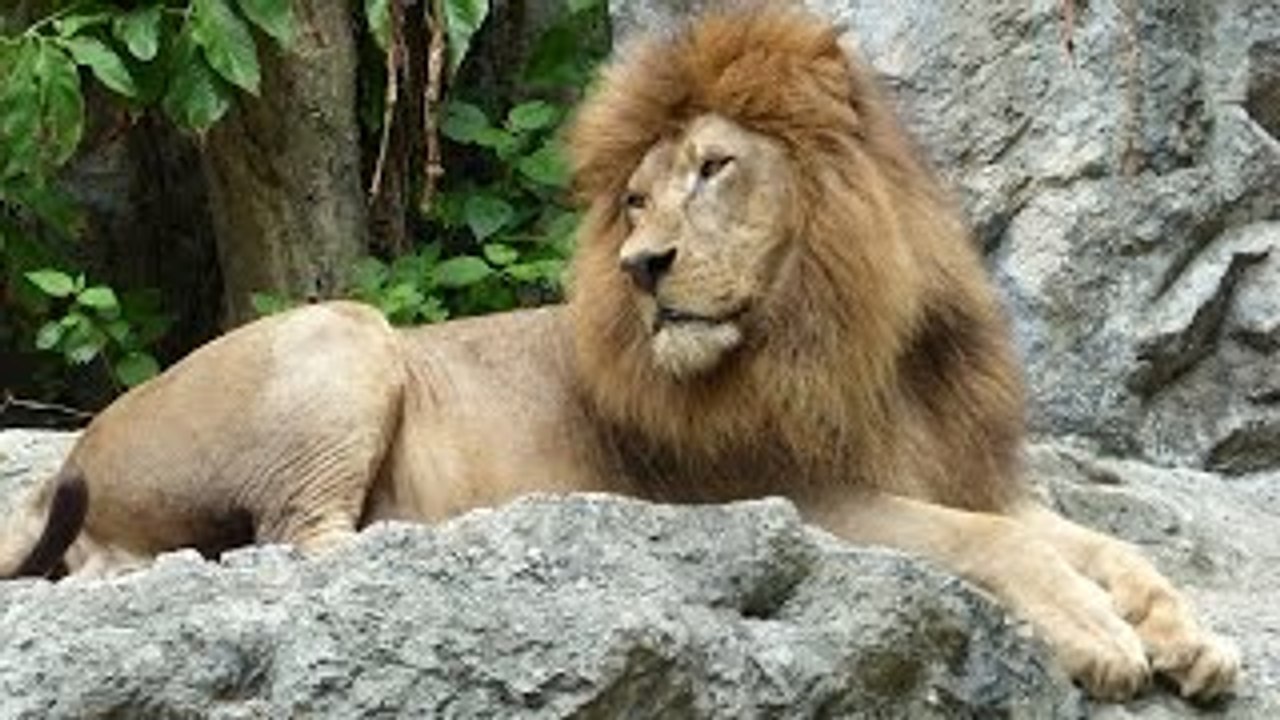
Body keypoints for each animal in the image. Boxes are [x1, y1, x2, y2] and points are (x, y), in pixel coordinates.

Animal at [0, 8, 1238, 702]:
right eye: (634, 199)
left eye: (713, 170)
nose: (643, 266)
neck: (850, 330)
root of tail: (83, 450)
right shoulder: (799, 493)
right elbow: (996, 545)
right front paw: (1101, 640)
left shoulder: (954, 465)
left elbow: (1104, 544)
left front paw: (1190, 638)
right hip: (345, 331)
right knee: (297, 543)